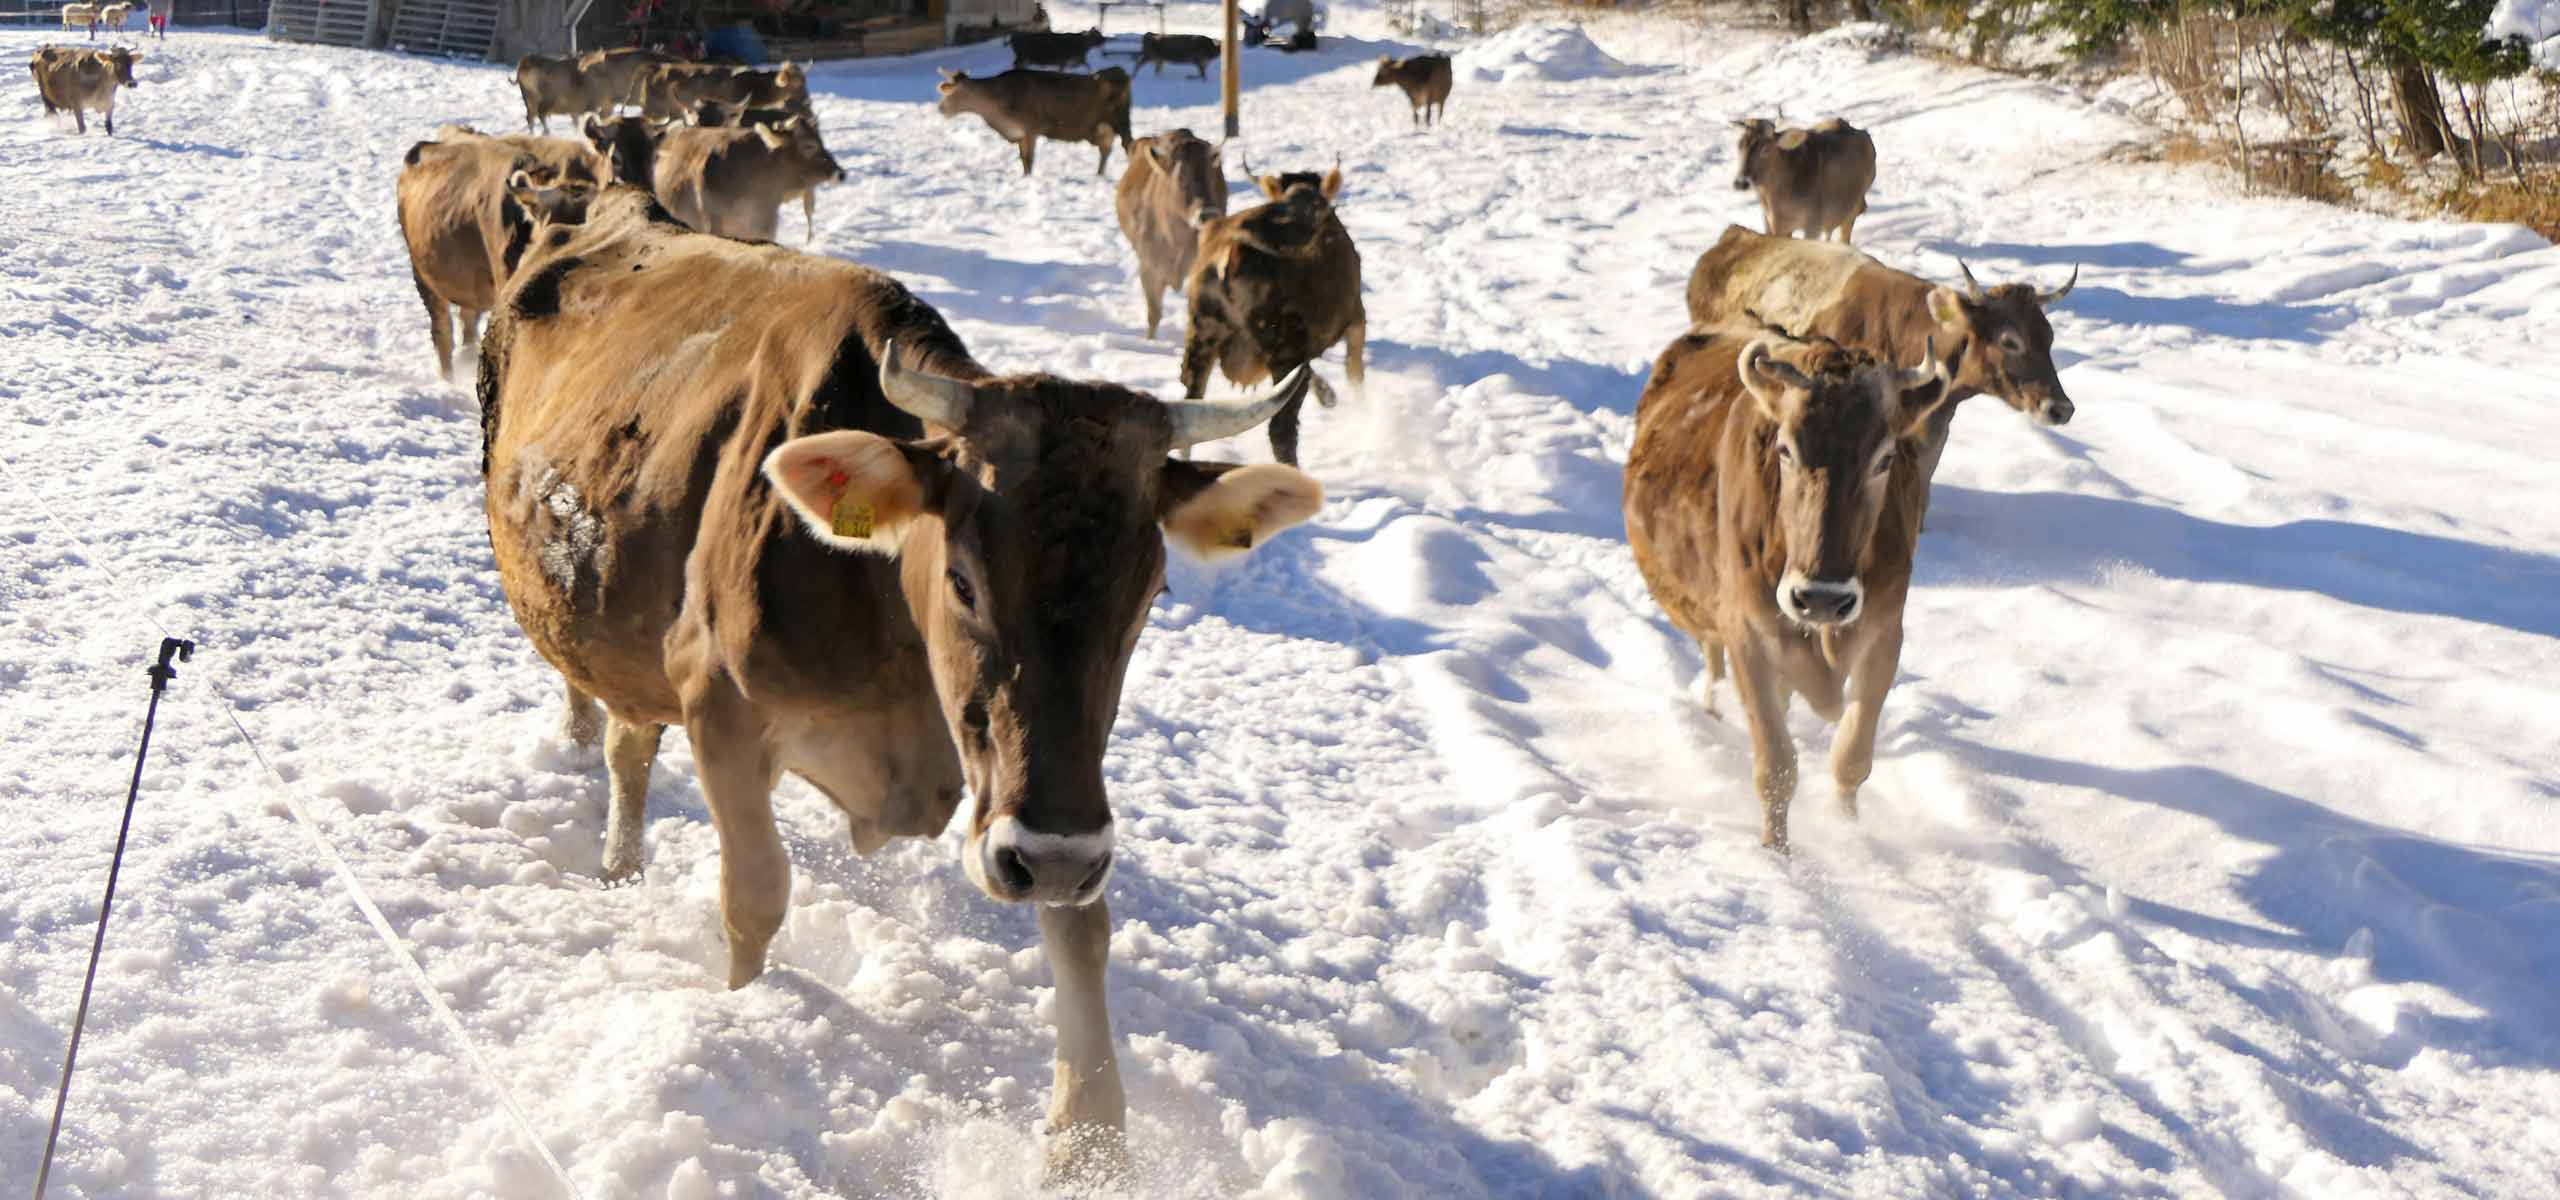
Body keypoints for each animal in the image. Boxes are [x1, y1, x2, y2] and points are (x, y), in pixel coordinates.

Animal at [475, 183, 1325, 1183]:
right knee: (617, 732)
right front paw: (738, 1017)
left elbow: (1084, 929)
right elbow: (754, 894)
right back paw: (610, 849)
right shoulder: (713, 697)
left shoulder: (1036, 794)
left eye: (1151, 592)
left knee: (629, 738)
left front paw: (1091, 1145)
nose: (1054, 856)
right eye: (961, 579)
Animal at [935, 67, 1132, 178]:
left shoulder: (1031, 128)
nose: (940, 108)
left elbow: (1029, 159)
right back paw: (1098, 175)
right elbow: (1023, 159)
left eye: (957, 92)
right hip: (1103, 128)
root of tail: (1122, 74)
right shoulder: (1020, 133)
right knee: (1106, 149)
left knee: (1127, 145)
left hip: (1121, 120)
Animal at [1179, 165, 1366, 466]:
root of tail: (1232, 257)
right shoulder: (1356, 316)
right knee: (1281, 427)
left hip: (1202, 334)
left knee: (1192, 404)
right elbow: (1354, 372)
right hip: (1283, 344)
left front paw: (1328, 394)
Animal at [1622, 327, 1949, 851]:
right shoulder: (1746, 633)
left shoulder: (1884, 633)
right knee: (1714, 667)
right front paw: (1776, 854)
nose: (1822, 598)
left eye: (1884, 459)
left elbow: (1851, 757)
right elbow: (1776, 768)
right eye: (1786, 449)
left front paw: (1848, 834)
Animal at [1730, 117, 1876, 243]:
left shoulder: (1813, 225)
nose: (1741, 182)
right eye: (1739, 145)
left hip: (1852, 207)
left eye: (1765, 149)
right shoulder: (1770, 224)